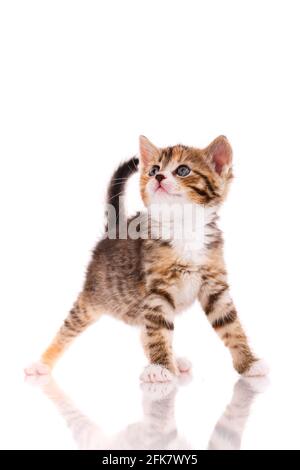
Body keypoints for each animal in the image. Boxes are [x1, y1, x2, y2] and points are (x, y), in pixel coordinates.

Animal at [25, 133, 268, 382]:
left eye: (182, 170)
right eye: (153, 170)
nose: (158, 176)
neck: (183, 228)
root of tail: (115, 228)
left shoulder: (214, 286)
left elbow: (230, 325)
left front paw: (249, 363)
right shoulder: (157, 291)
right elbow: (158, 331)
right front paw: (161, 367)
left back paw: (174, 360)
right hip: (94, 297)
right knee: (69, 328)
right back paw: (42, 363)